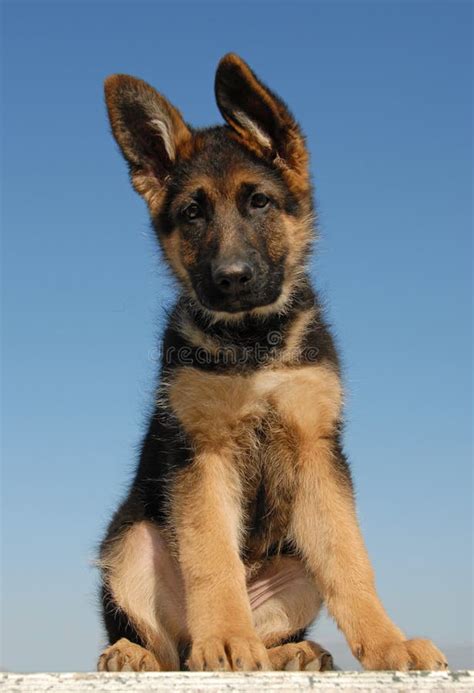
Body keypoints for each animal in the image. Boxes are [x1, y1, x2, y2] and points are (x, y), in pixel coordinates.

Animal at [97, 56, 448, 672]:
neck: (252, 343)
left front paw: (388, 643)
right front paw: (225, 640)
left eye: (259, 201)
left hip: (294, 567)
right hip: (130, 544)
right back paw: (142, 652)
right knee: (168, 647)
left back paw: (291, 652)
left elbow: (350, 560)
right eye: (193, 213)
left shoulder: (317, 449)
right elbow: (213, 559)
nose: (232, 278)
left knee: (278, 614)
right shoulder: (202, 454)